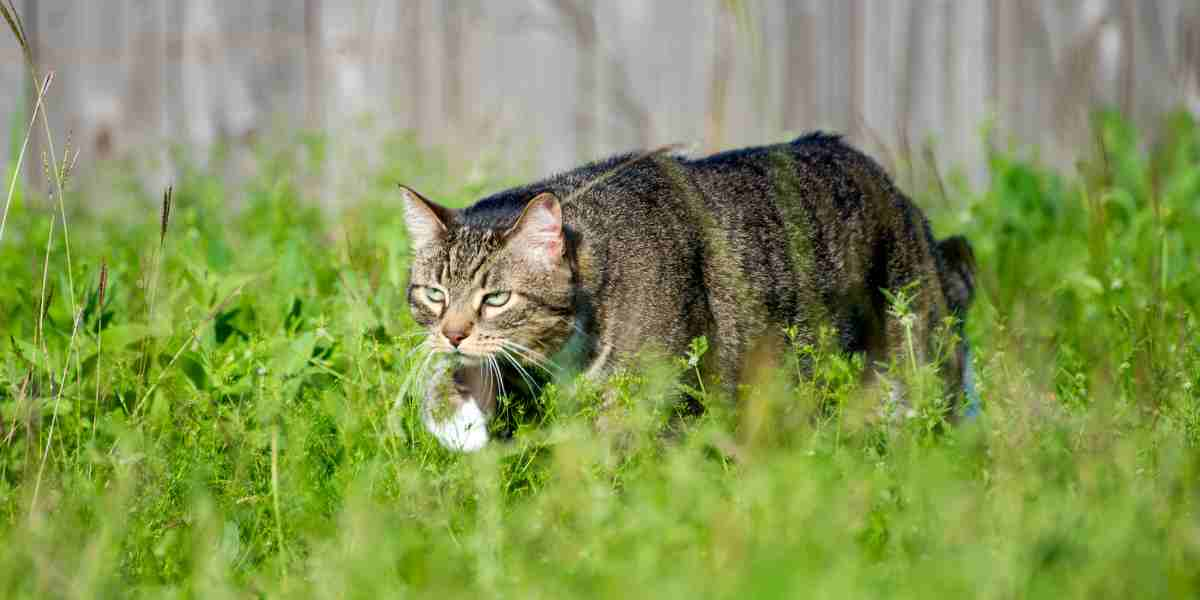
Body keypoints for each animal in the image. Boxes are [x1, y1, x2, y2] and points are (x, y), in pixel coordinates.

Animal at [400, 131, 974, 451]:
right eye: (433, 295)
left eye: (496, 299)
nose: (452, 333)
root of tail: (902, 197)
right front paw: (453, 414)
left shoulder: (649, 401)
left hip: (915, 363)